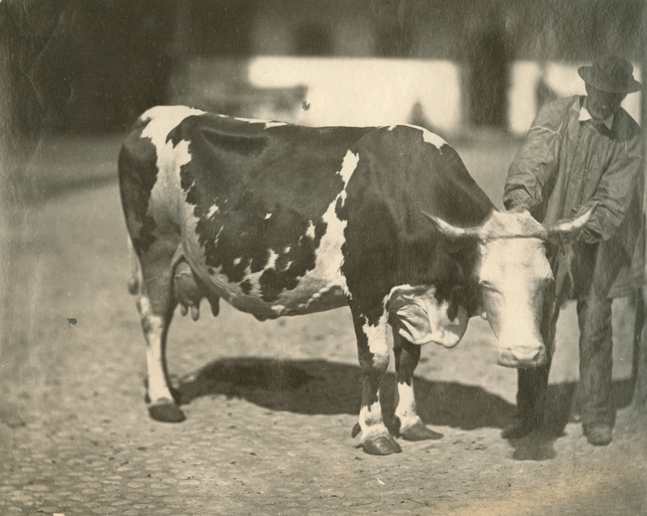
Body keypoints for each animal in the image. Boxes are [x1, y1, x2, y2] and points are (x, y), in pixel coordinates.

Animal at [118, 106, 594, 455]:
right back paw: (162, 400)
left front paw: (413, 423)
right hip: (156, 247)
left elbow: (408, 360)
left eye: (547, 283)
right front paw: (375, 433)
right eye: (488, 283)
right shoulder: (366, 292)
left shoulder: (409, 296)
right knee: (154, 320)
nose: (525, 354)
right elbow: (375, 361)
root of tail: (147, 117)